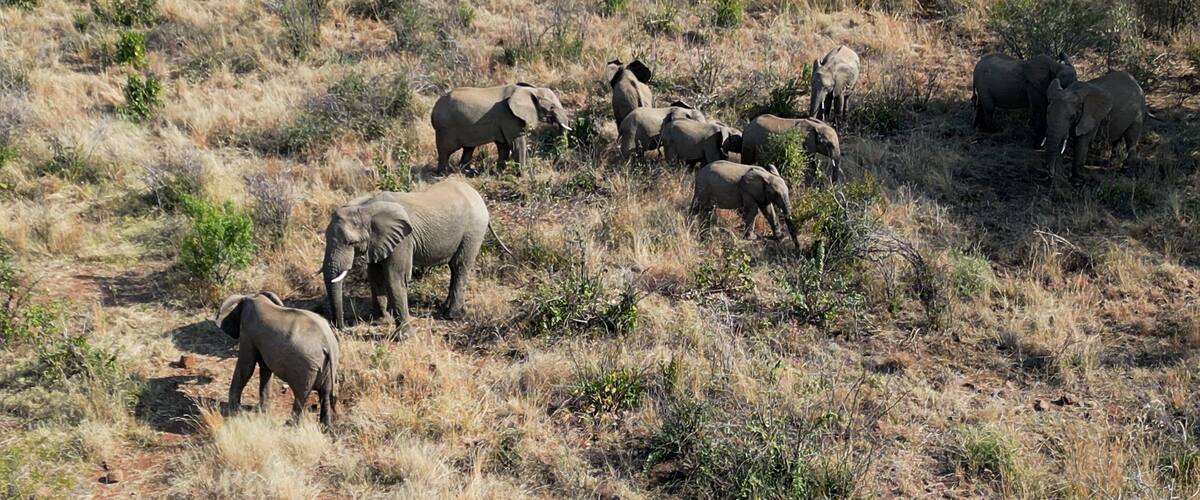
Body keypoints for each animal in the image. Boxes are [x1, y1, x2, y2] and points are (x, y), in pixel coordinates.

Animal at [215, 291, 340, 427]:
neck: (253, 297)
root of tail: (328, 342)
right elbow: (265, 369)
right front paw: (263, 410)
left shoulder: (248, 332)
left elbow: (246, 366)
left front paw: (234, 409)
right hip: (326, 365)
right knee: (325, 393)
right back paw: (325, 426)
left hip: (305, 365)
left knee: (301, 394)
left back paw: (290, 424)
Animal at [322, 179, 498, 330]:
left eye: (351, 243)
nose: (341, 328)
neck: (366, 208)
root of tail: (476, 194)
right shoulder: (378, 241)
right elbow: (375, 275)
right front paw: (381, 320)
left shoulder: (403, 240)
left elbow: (395, 276)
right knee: (454, 268)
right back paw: (444, 308)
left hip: (474, 229)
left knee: (460, 265)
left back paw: (451, 315)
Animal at [431, 83, 570, 176]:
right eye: (551, 107)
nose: (554, 164)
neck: (530, 90)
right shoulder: (510, 117)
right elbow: (517, 144)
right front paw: (524, 176)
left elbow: (503, 146)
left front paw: (499, 172)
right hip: (445, 128)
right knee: (445, 151)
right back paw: (442, 173)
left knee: (468, 148)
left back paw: (469, 172)